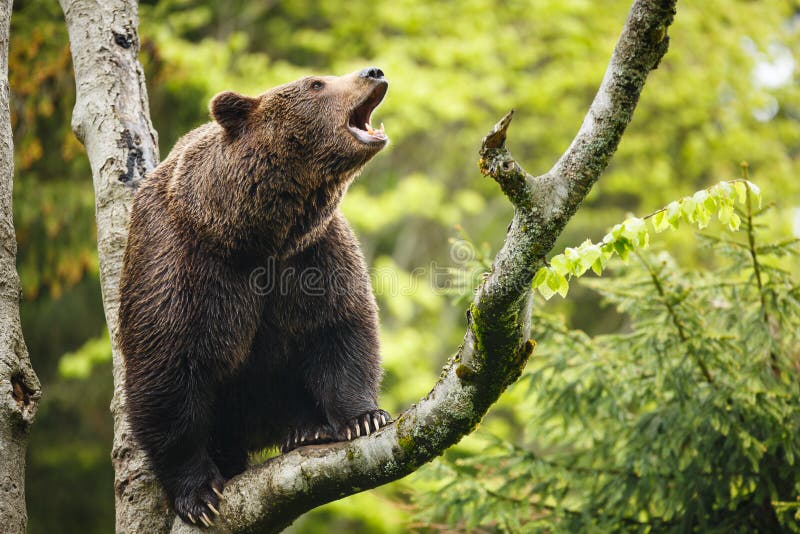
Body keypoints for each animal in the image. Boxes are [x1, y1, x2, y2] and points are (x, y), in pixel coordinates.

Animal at [118, 66, 390, 528]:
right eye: (316, 83)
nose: (374, 71)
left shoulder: (312, 254)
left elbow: (340, 327)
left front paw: (365, 418)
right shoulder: (185, 266)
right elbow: (168, 369)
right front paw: (199, 493)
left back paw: (305, 428)